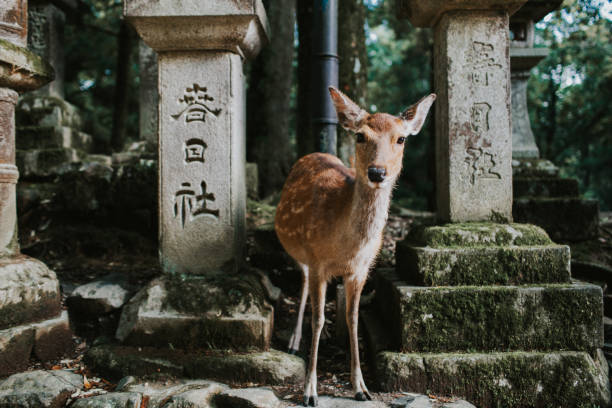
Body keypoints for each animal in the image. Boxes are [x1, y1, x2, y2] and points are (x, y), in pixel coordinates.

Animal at [272, 87, 436, 406]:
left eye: (401, 138)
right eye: (360, 136)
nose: (377, 172)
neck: (346, 245)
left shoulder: (361, 270)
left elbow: (353, 319)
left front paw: (361, 387)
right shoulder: (318, 261)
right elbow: (319, 318)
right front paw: (309, 391)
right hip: (299, 252)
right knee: (302, 286)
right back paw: (295, 342)